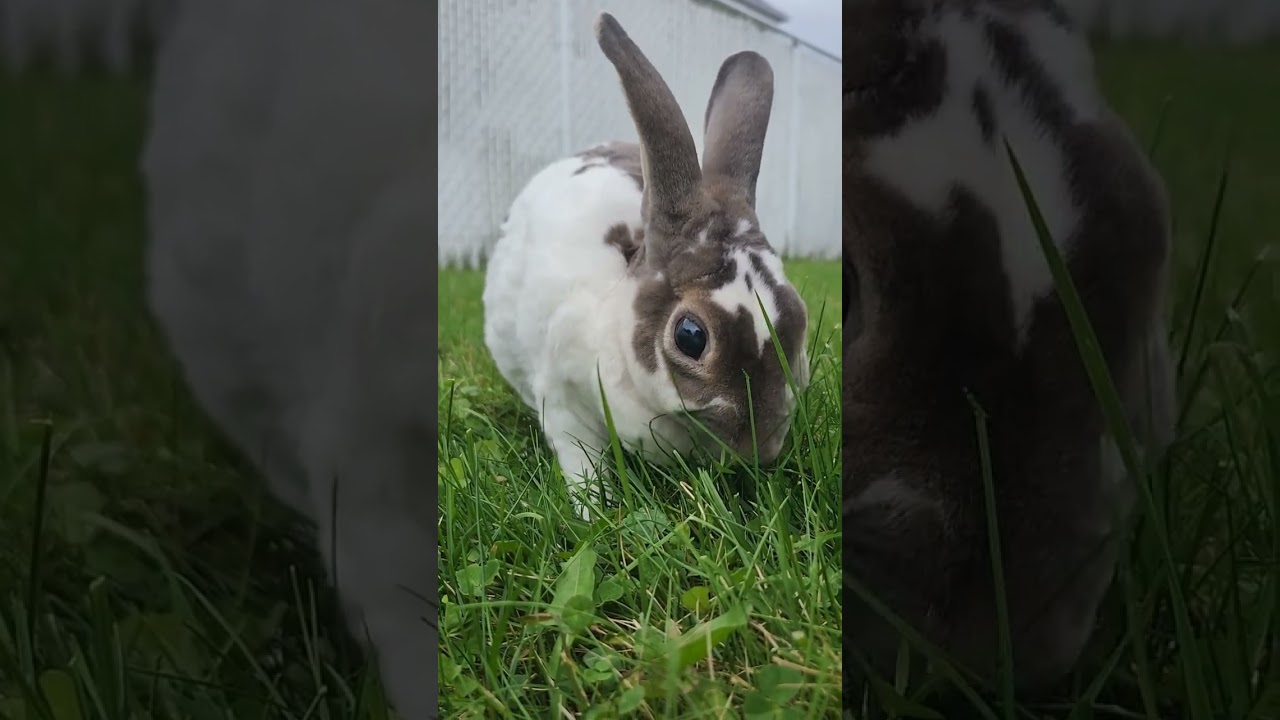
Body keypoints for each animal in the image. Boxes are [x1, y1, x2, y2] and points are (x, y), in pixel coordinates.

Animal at [482, 13, 810, 522]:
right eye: (691, 336)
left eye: (799, 316)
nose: (764, 445)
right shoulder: (562, 402)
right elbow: (582, 465)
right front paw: (596, 514)